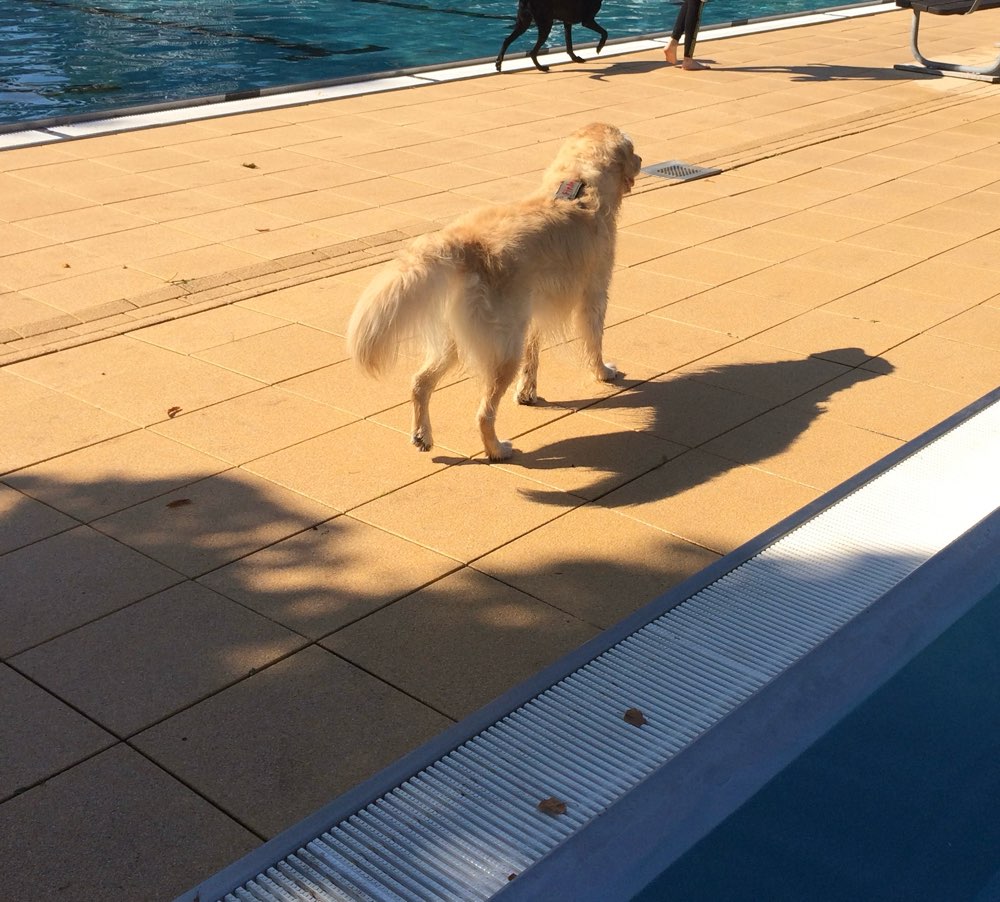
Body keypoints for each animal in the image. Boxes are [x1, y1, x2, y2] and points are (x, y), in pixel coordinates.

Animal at [344, 123, 640, 462]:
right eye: (633, 150)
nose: (642, 160)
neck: (578, 187)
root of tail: (463, 244)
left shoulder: (534, 312)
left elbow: (533, 354)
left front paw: (527, 392)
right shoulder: (594, 296)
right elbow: (594, 342)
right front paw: (603, 372)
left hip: (456, 339)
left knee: (420, 383)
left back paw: (423, 435)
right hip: (503, 349)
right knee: (484, 414)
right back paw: (497, 449)